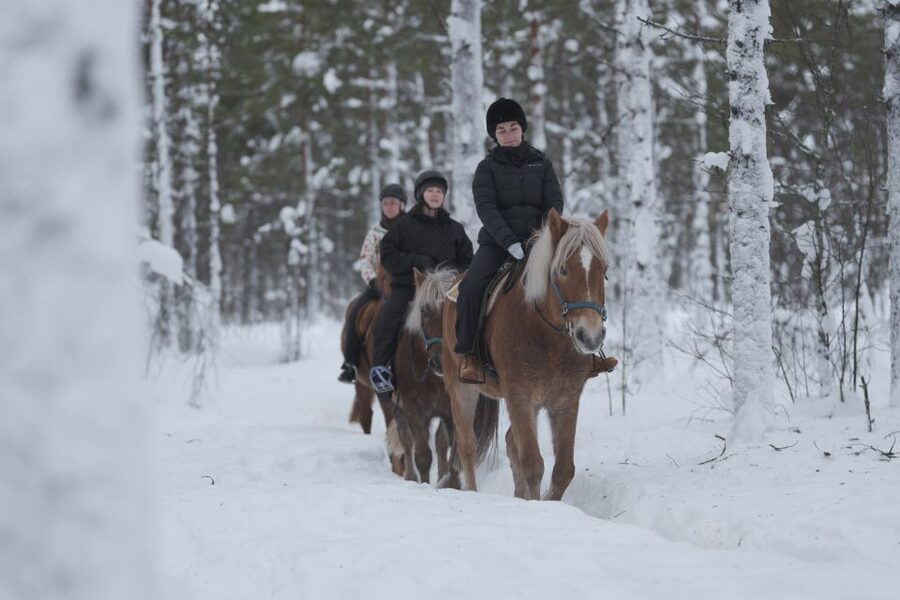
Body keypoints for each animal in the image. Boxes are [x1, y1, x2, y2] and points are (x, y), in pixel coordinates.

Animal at [391, 267, 498, 486]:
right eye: (424, 313)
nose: (440, 362)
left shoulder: (449, 409)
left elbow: (450, 447)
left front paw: (451, 482)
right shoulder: (413, 409)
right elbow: (422, 454)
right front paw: (423, 482)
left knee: (439, 443)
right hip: (398, 407)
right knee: (407, 441)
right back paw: (411, 476)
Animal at [441, 208, 615, 500]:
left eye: (603, 271)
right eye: (563, 270)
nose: (590, 336)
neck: (546, 336)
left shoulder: (566, 400)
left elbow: (563, 470)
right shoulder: (520, 396)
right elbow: (533, 464)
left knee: (511, 442)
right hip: (460, 387)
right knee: (467, 445)